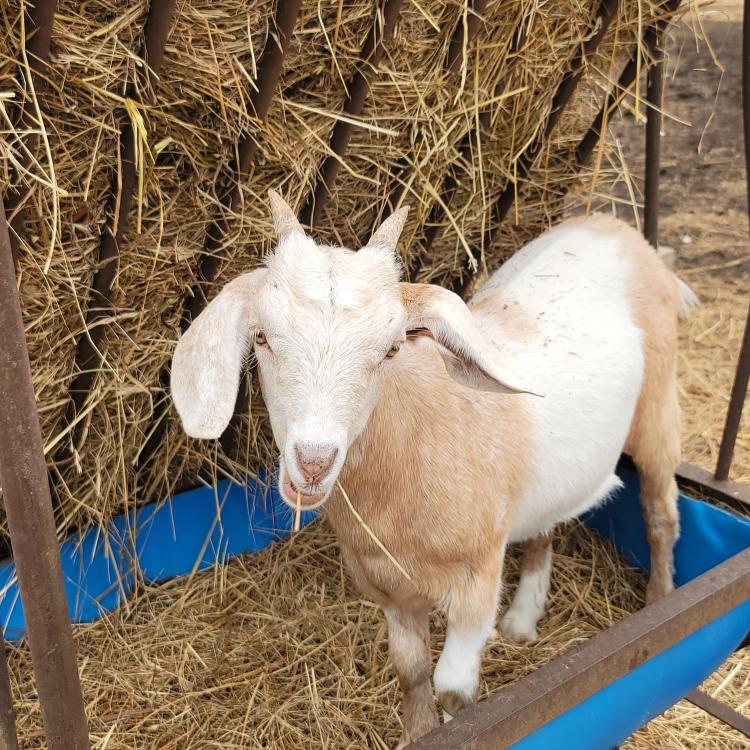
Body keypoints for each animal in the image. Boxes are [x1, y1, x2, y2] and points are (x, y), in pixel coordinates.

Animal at [171, 190, 696, 748]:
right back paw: (523, 619)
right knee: (545, 526)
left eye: (391, 348)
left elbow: (453, 689)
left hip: (658, 410)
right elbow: (411, 669)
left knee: (661, 514)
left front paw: (458, 726)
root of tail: (614, 227)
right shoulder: (389, 587)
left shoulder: (476, 583)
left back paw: (659, 603)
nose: (312, 462)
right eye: (263, 339)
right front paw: (418, 732)